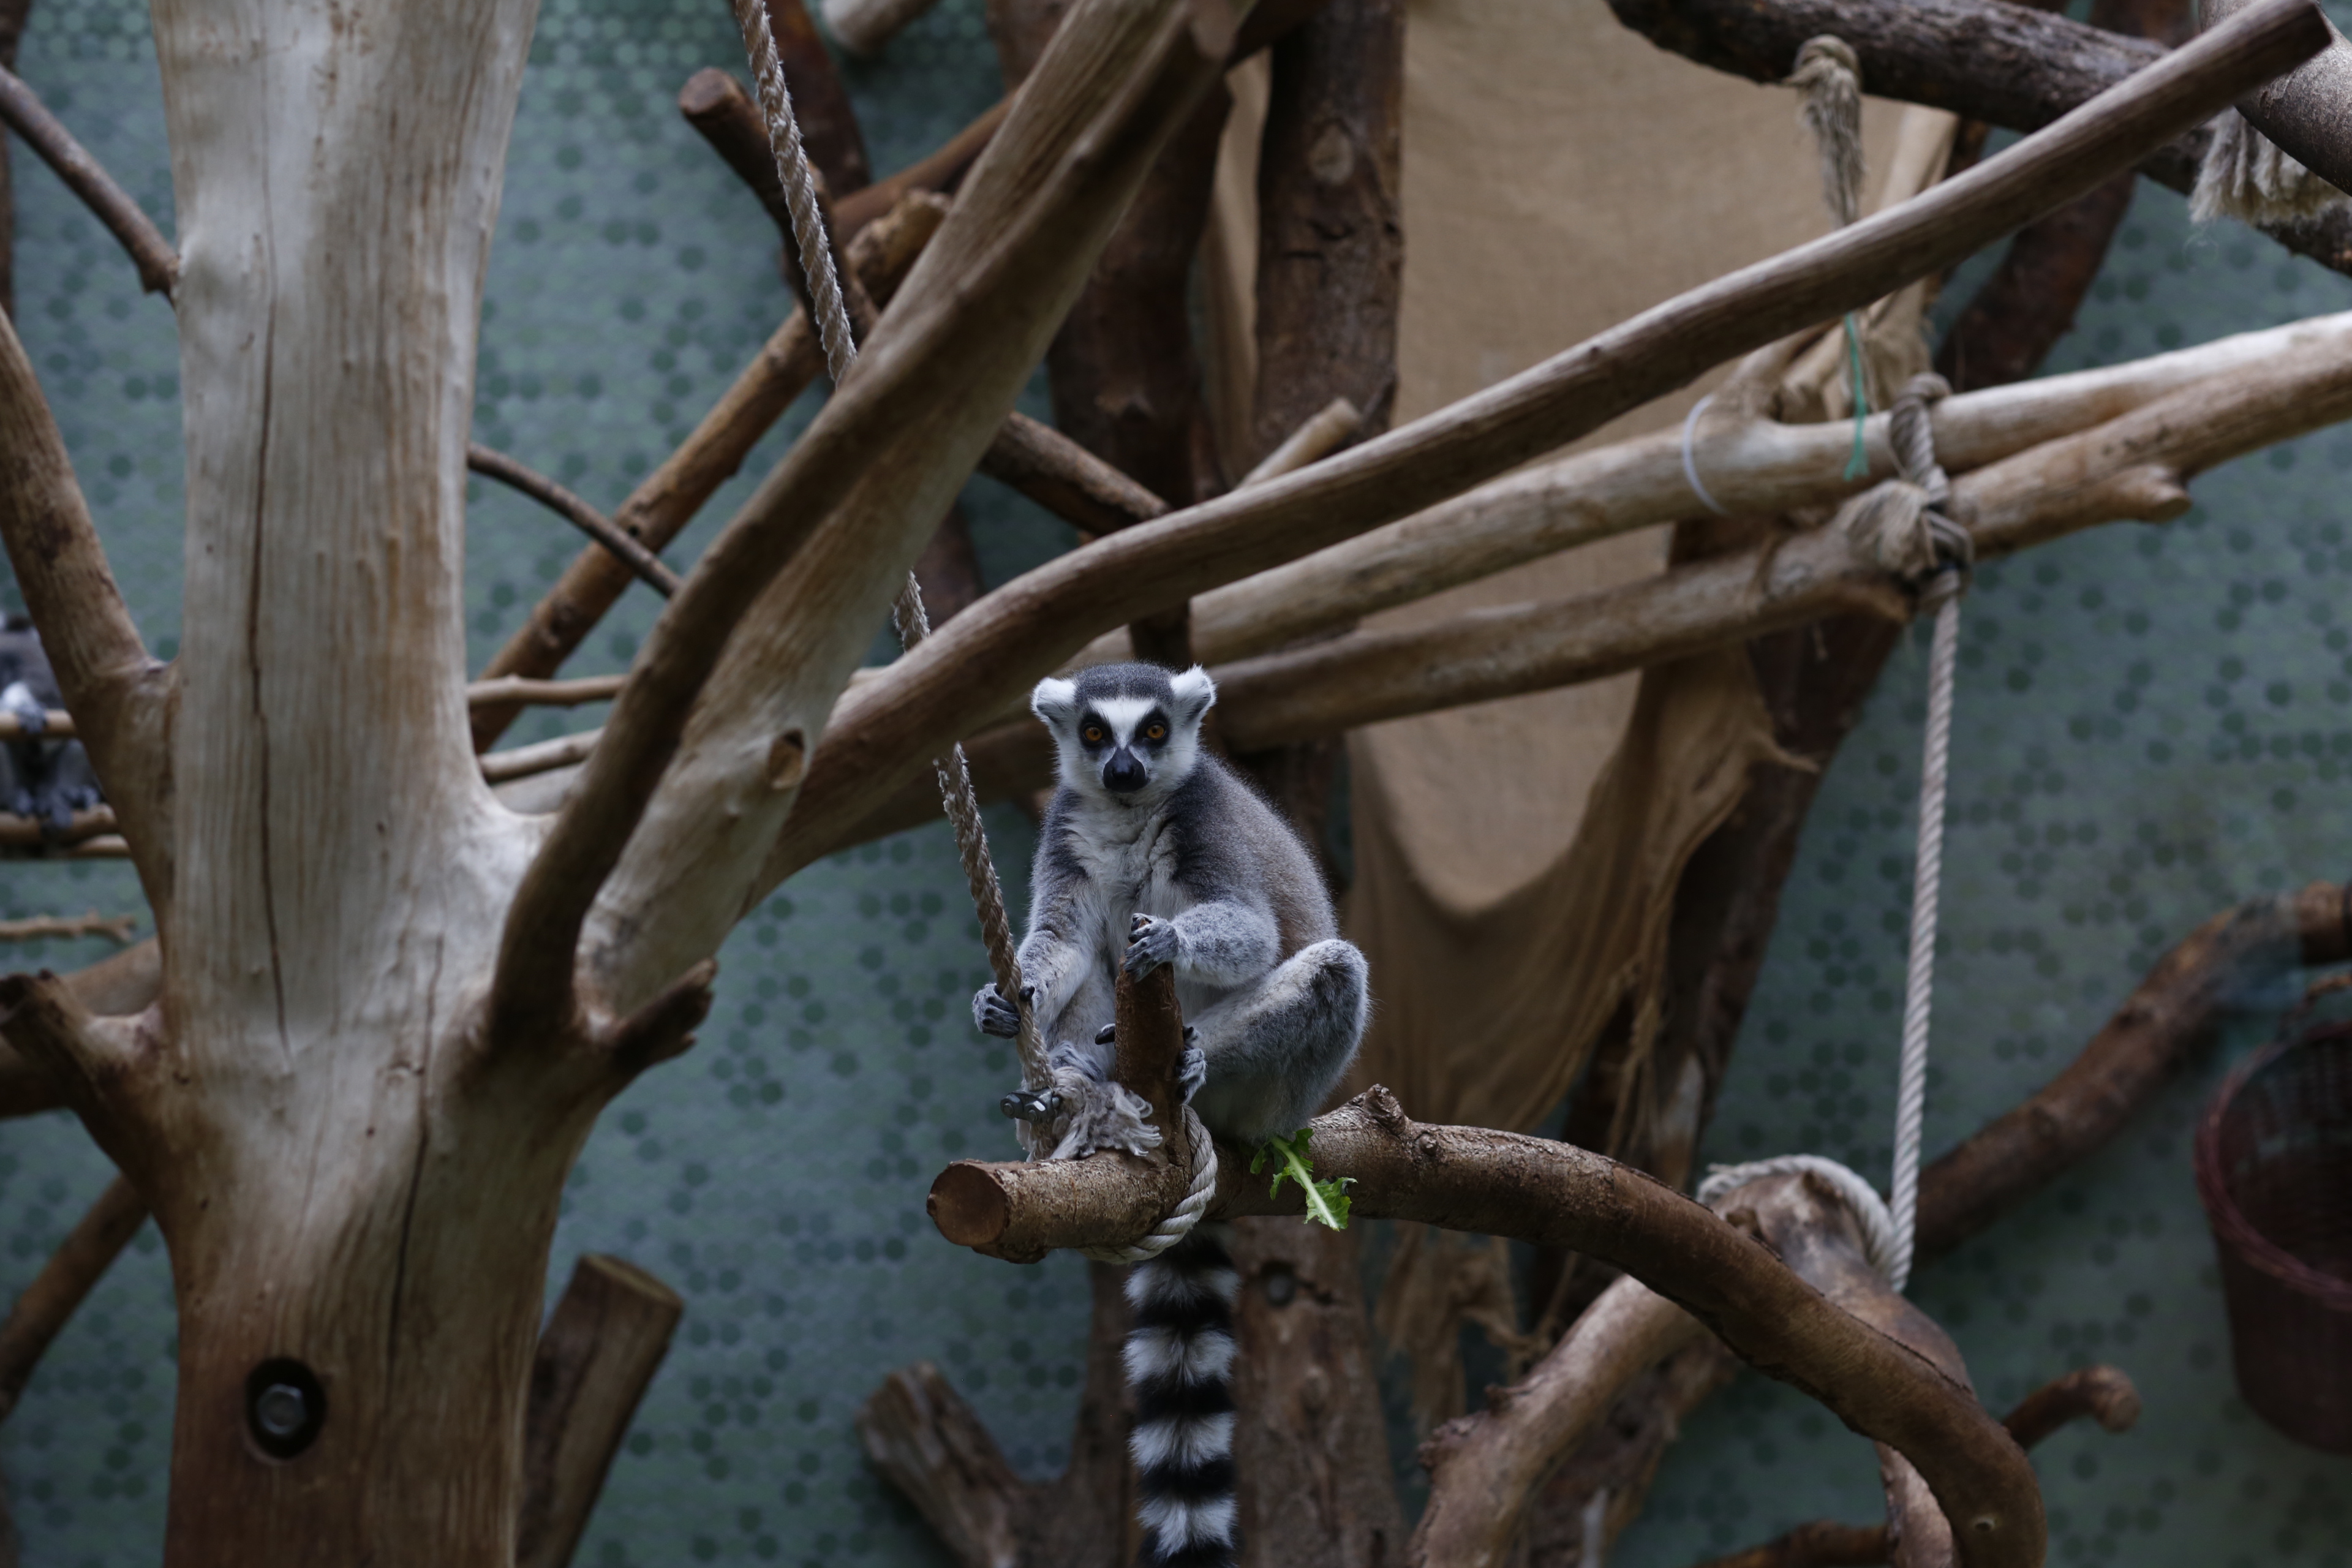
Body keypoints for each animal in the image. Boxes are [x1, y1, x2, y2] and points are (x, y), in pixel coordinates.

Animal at [972, 660, 1368, 1568]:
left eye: (1153, 732)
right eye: (1094, 734)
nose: (1123, 769)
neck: (1124, 817)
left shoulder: (1203, 824)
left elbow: (1251, 931)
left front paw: (1171, 947)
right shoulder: (1069, 831)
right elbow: (1063, 943)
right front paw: (1003, 1002)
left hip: (1281, 1096)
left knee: (1330, 971)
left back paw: (1159, 1065)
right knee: (1096, 963)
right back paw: (1071, 1088)